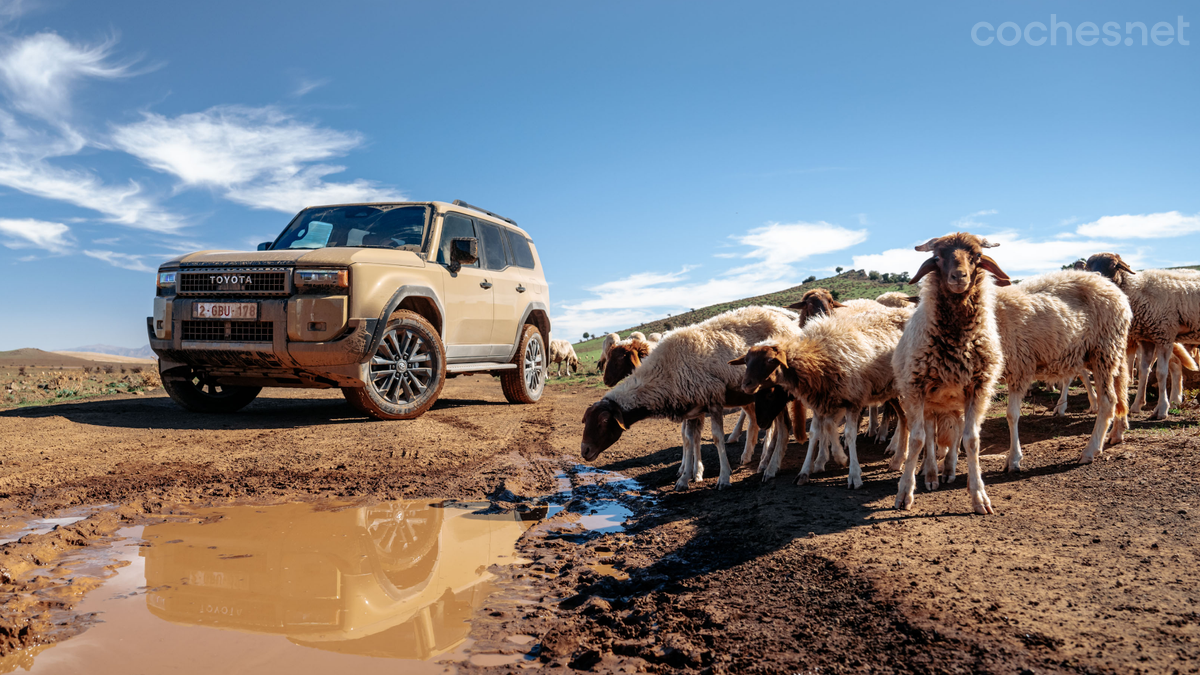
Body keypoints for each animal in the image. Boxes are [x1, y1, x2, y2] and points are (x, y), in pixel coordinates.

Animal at [578, 306, 801, 487]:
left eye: (604, 421)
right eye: (585, 420)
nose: (584, 451)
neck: (665, 372)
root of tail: (789, 323)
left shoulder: (713, 400)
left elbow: (715, 439)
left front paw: (722, 477)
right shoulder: (693, 408)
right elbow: (690, 438)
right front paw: (686, 477)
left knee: (782, 427)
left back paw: (769, 467)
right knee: (768, 424)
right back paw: (761, 460)